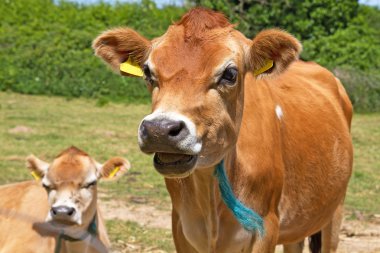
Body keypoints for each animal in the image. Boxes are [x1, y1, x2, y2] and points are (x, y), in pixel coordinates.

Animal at [93, 7, 354, 253]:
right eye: (147, 71)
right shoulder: (180, 225)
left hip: (335, 208)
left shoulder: (267, 227)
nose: (160, 129)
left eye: (230, 74)